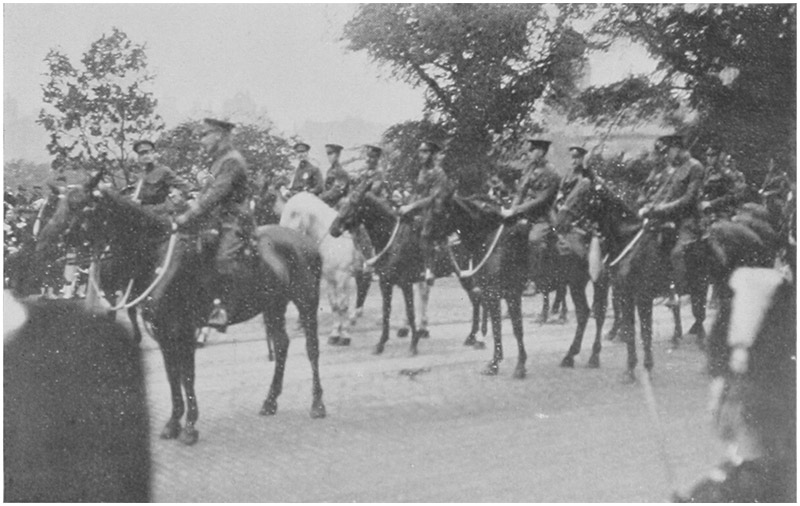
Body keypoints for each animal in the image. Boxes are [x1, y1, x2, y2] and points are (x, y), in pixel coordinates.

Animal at [35, 176, 324, 444]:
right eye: (58, 204)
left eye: (78, 205)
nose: (43, 241)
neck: (159, 258)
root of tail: (304, 241)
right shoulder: (164, 333)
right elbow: (172, 376)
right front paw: (173, 423)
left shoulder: (184, 331)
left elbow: (187, 377)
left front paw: (190, 427)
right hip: (273, 306)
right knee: (282, 344)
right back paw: (270, 401)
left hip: (307, 303)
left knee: (312, 349)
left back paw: (317, 404)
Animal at [280, 193, 364, 344]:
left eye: (294, 213)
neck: (332, 241)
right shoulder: (329, 278)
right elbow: (334, 305)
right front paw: (335, 333)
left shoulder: (343, 277)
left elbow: (343, 305)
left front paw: (345, 335)